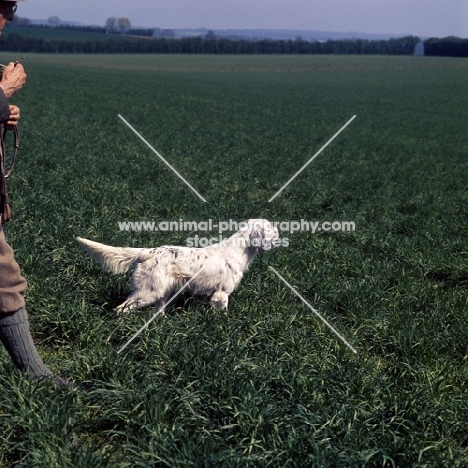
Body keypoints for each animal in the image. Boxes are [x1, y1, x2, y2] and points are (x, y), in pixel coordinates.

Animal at [76, 219, 278, 314]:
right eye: (271, 229)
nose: (280, 234)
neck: (240, 249)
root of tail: (149, 251)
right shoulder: (221, 294)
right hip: (147, 292)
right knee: (122, 309)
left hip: (161, 292)